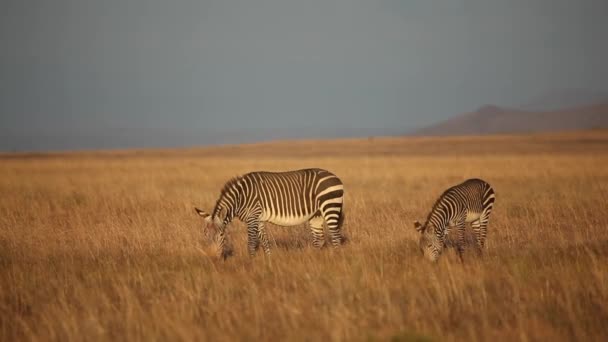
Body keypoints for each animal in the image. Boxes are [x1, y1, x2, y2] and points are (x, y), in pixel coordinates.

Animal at [195, 167, 346, 258]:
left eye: (221, 234)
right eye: (205, 234)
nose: (213, 258)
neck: (241, 198)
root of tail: (334, 176)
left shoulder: (253, 217)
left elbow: (252, 243)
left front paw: (250, 266)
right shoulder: (259, 219)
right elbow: (265, 241)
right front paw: (269, 262)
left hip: (330, 206)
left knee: (335, 237)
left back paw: (336, 259)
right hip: (316, 215)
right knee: (319, 239)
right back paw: (313, 259)